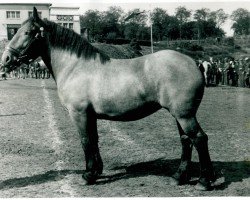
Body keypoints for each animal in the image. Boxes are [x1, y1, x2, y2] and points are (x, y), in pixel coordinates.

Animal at [0, 7, 216, 190]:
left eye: (27, 33)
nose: (6, 60)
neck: (76, 67)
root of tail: (193, 62)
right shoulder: (91, 115)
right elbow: (94, 140)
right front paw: (97, 171)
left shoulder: (79, 114)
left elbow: (85, 140)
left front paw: (88, 175)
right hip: (180, 115)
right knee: (186, 141)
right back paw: (179, 177)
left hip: (184, 115)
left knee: (199, 138)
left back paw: (204, 181)